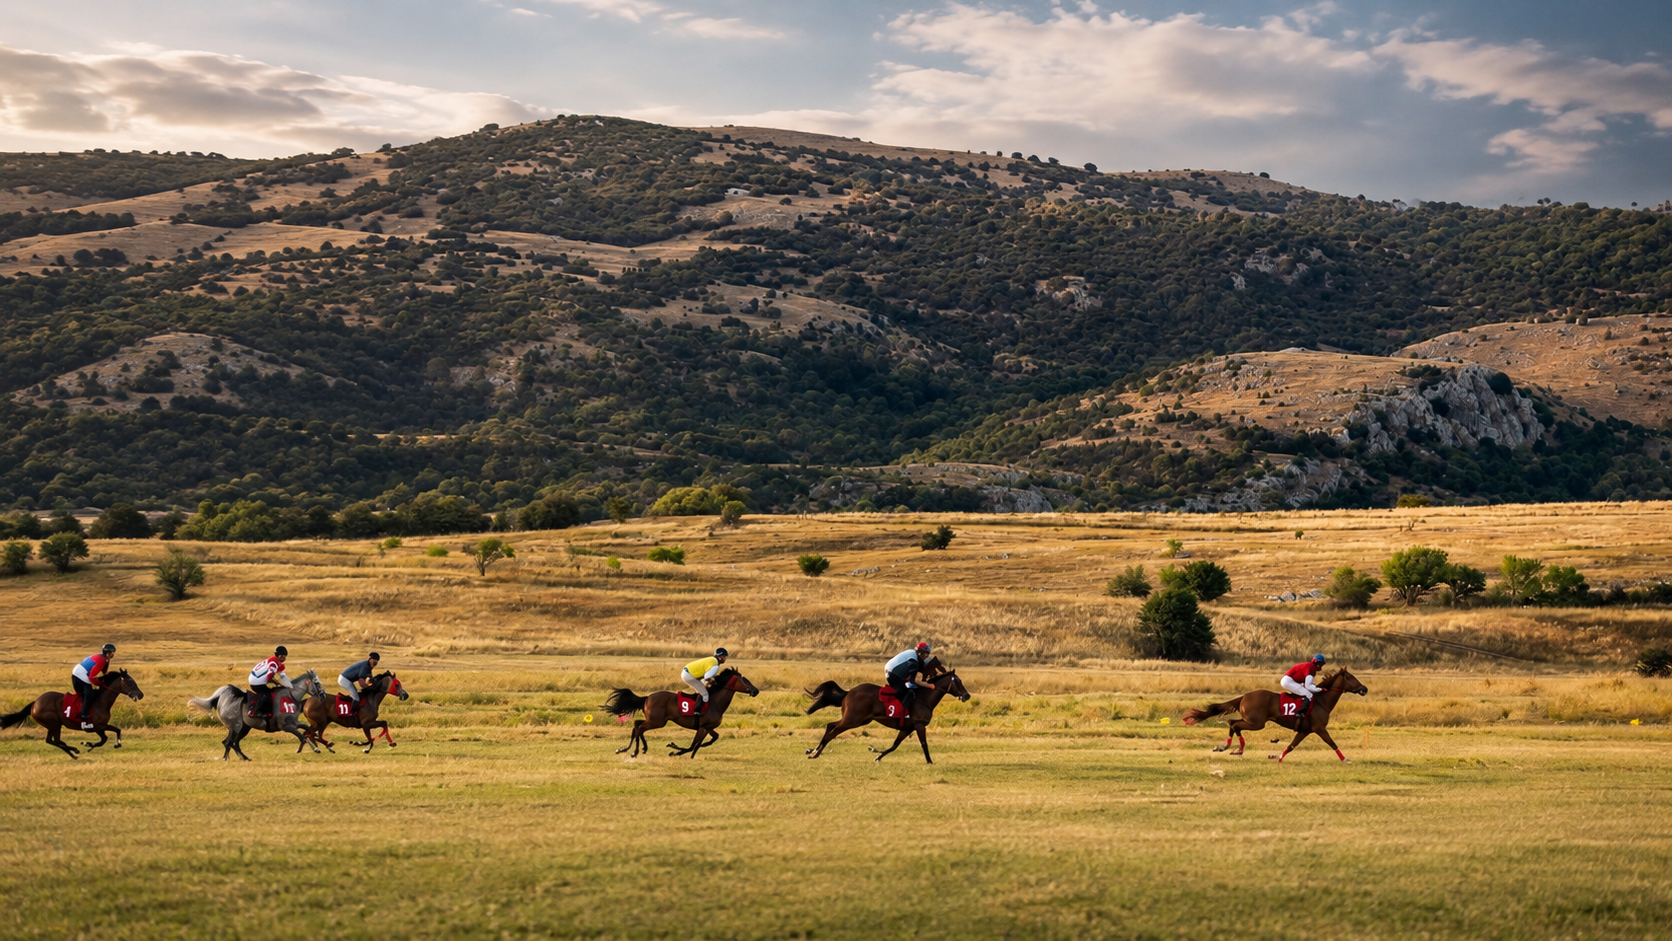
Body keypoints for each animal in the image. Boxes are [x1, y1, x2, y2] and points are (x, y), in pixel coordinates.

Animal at [0, 670, 145, 759]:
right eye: (130, 681)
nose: (140, 694)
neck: (101, 701)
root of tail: (35, 703)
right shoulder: (98, 727)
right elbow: (106, 738)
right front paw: (88, 744)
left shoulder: (101, 727)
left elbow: (114, 732)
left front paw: (114, 744)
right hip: (53, 723)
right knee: (53, 740)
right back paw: (74, 750)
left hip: (55, 725)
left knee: (54, 741)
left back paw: (72, 752)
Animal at [187, 669, 326, 761]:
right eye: (317, 683)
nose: (323, 695)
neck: (290, 696)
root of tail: (222, 698)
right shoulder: (287, 726)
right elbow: (302, 736)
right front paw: (315, 749)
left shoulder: (293, 723)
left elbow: (307, 728)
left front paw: (320, 744)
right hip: (236, 727)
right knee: (228, 742)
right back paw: (230, 759)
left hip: (244, 728)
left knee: (234, 743)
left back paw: (244, 758)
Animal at [601, 667, 760, 758]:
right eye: (745, 680)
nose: (756, 690)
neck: (715, 702)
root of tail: (647, 697)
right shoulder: (703, 728)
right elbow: (692, 746)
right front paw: (674, 749)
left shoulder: (708, 728)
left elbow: (711, 739)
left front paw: (688, 751)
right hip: (657, 721)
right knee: (639, 728)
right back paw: (637, 751)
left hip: (653, 720)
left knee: (636, 725)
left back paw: (626, 749)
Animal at [802, 667, 970, 763]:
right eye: (958, 682)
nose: (967, 695)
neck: (924, 698)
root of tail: (849, 692)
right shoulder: (919, 725)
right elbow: (924, 744)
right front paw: (930, 761)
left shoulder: (907, 728)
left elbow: (895, 745)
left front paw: (878, 756)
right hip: (853, 720)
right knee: (833, 732)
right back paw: (815, 753)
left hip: (858, 720)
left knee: (830, 725)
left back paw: (814, 750)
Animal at [1182, 668, 1370, 762]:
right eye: (1350, 677)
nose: (1364, 688)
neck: (1321, 700)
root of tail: (1244, 696)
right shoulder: (1319, 728)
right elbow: (1332, 743)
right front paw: (1345, 759)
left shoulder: (1305, 730)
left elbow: (1292, 746)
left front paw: (1278, 758)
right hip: (1257, 723)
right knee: (1234, 724)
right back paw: (1234, 748)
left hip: (1252, 721)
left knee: (1232, 722)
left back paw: (1228, 747)